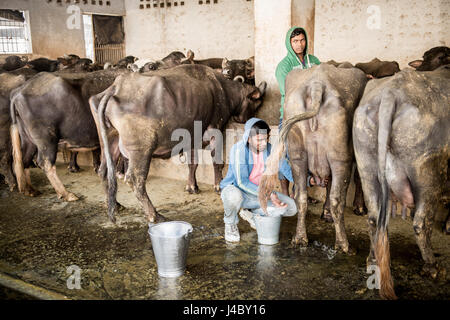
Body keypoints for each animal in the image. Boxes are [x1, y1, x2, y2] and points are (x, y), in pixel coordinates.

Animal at [90, 63, 268, 222]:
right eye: (256, 103)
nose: (249, 120)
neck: (222, 89)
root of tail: (117, 87)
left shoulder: (191, 136)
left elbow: (193, 163)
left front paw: (192, 186)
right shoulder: (216, 130)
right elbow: (216, 161)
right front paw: (218, 186)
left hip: (110, 142)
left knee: (104, 171)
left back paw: (115, 205)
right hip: (141, 150)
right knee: (135, 179)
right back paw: (154, 215)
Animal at [258, 63, 368, 252]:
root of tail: (317, 85)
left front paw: (325, 213)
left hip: (297, 155)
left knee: (301, 197)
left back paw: (300, 238)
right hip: (340, 159)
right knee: (337, 199)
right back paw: (343, 245)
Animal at [354, 65, 448, 300]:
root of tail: (391, 92)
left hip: (366, 166)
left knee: (374, 218)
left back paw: (372, 260)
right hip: (426, 173)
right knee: (421, 222)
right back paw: (433, 268)